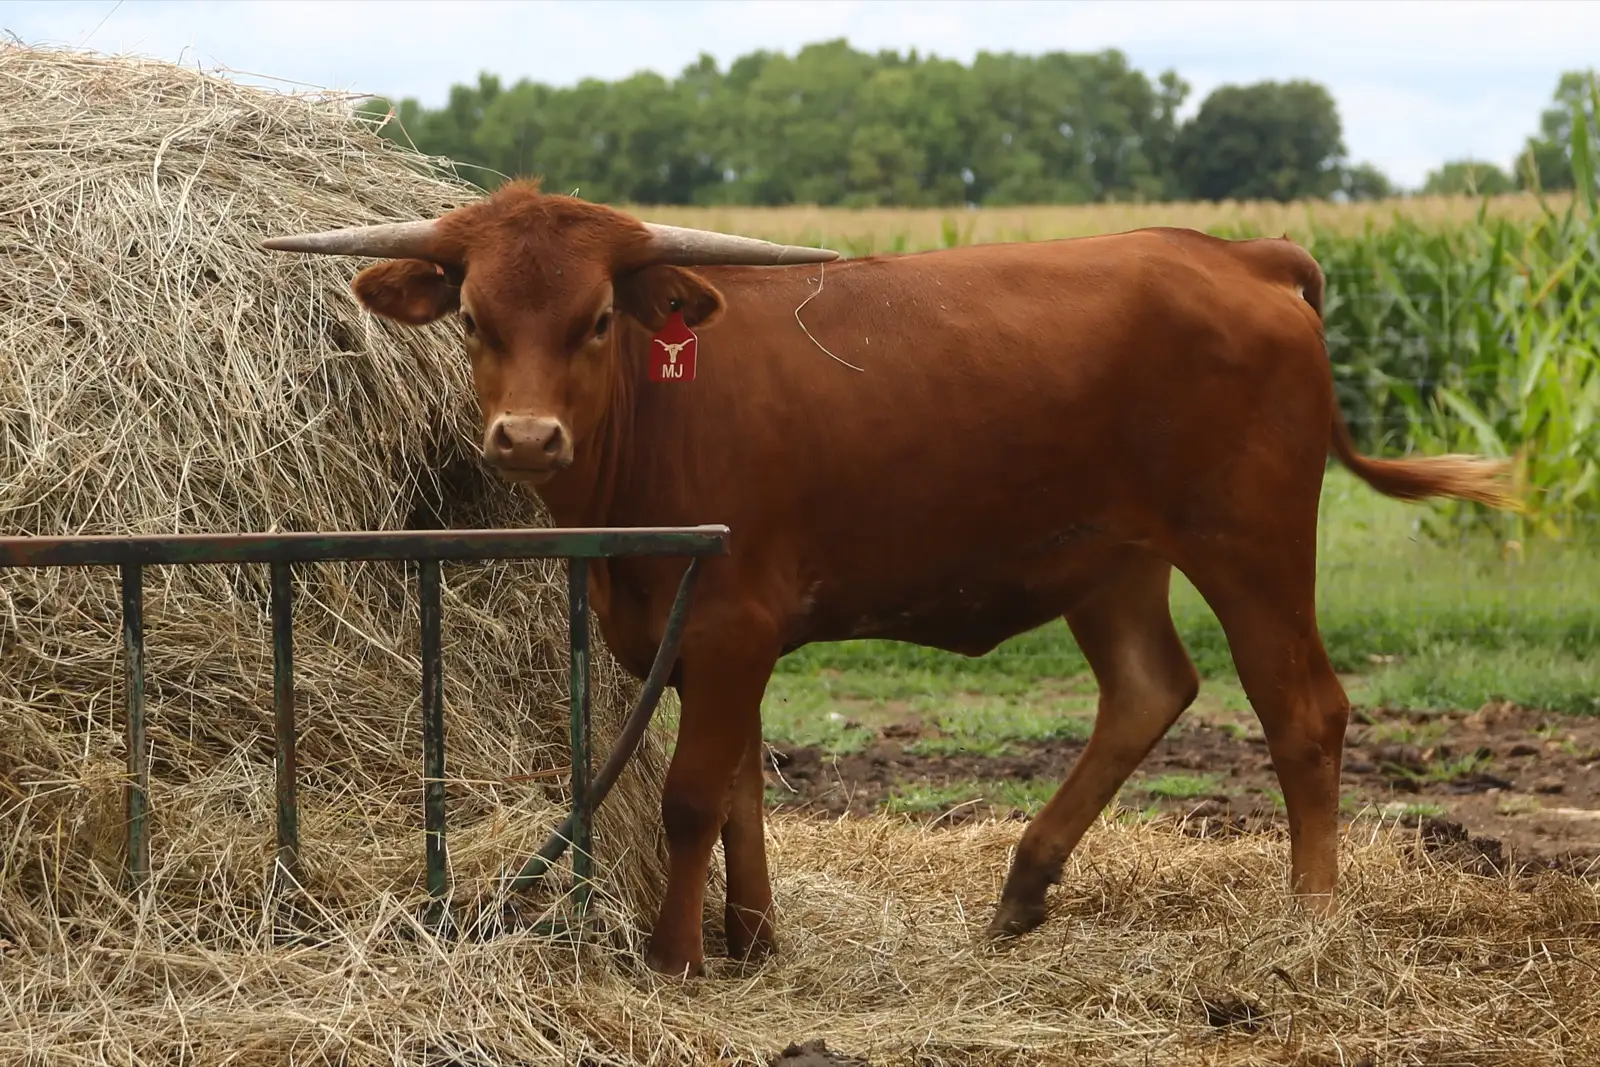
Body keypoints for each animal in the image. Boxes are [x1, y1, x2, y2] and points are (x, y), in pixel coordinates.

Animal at [262, 180, 1518, 978]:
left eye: (600, 315)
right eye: (475, 317)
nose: (526, 438)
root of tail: (1232, 251)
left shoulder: (729, 619)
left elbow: (691, 794)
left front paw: (674, 956)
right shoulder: (699, 636)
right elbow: (740, 787)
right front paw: (753, 939)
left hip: (1248, 543)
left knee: (1302, 711)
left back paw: (1309, 925)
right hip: (1109, 559)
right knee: (1147, 688)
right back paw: (1022, 886)